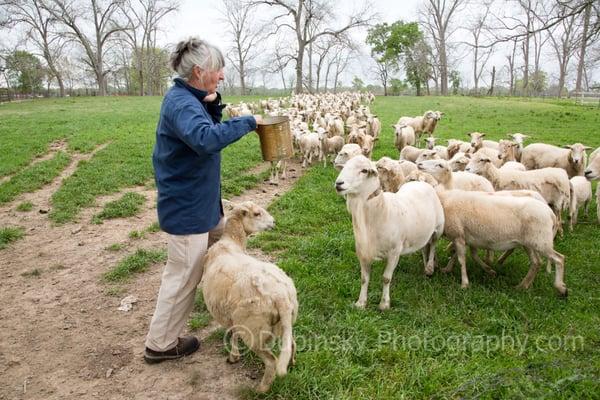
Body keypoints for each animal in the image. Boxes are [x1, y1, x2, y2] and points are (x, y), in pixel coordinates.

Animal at [203, 202, 298, 392]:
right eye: (256, 214)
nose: (274, 222)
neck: (229, 244)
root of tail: (281, 297)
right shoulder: (231, 313)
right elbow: (232, 331)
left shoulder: (231, 316)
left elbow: (231, 332)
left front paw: (233, 356)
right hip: (287, 321)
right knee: (292, 343)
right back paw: (291, 364)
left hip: (254, 329)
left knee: (271, 361)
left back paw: (261, 390)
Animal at [332, 155, 446, 310]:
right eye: (344, 167)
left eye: (364, 170)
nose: (339, 183)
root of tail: (420, 181)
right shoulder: (363, 252)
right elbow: (364, 279)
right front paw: (361, 303)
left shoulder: (394, 252)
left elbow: (386, 278)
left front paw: (384, 304)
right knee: (424, 247)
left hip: (439, 228)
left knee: (433, 244)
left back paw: (429, 267)